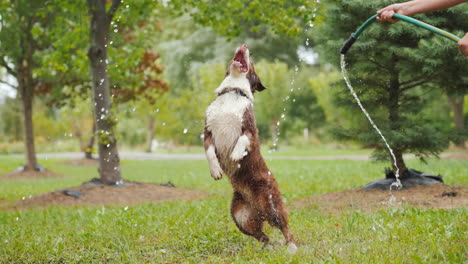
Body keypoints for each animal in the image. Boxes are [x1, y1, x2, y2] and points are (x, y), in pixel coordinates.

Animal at [204, 44, 298, 254]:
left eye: (252, 59)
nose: (244, 45)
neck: (233, 92)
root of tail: (259, 209)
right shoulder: (207, 133)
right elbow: (209, 153)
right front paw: (215, 171)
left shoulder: (250, 131)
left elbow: (242, 140)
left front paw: (236, 154)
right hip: (240, 217)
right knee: (263, 235)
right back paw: (267, 248)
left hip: (271, 204)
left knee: (285, 228)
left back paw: (293, 248)